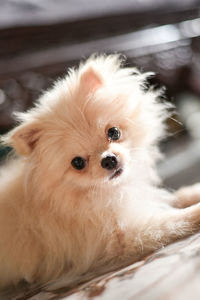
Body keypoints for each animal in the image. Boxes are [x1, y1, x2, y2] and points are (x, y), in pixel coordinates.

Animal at [0, 54, 200, 288]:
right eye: (78, 163)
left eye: (113, 132)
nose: (109, 160)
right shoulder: (125, 235)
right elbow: (174, 219)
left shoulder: (134, 202)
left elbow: (175, 197)